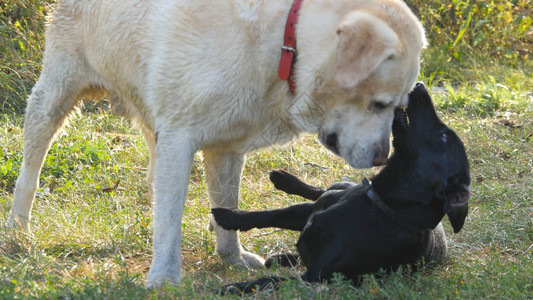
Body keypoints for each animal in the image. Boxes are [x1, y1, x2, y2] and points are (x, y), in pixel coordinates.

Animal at [6, 0, 424, 288]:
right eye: (379, 104)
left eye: (399, 106)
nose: (382, 158)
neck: (283, 42)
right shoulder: (179, 137)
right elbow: (171, 220)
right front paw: (164, 277)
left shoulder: (226, 148)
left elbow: (227, 209)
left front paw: (231, 257)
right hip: (52, 98)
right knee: (29, 173)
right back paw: (17, 230)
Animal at [210, 83, 468, 294]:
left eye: (445, 136)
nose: (421, 85)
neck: (379, 202)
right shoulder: (306, 213)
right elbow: (268, 215)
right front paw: (229, 216)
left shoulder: (314, 276)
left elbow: (270, 281)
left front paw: (231, 288)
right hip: (337, 188)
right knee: (318, 191)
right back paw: (284, 180)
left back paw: (284, 256)